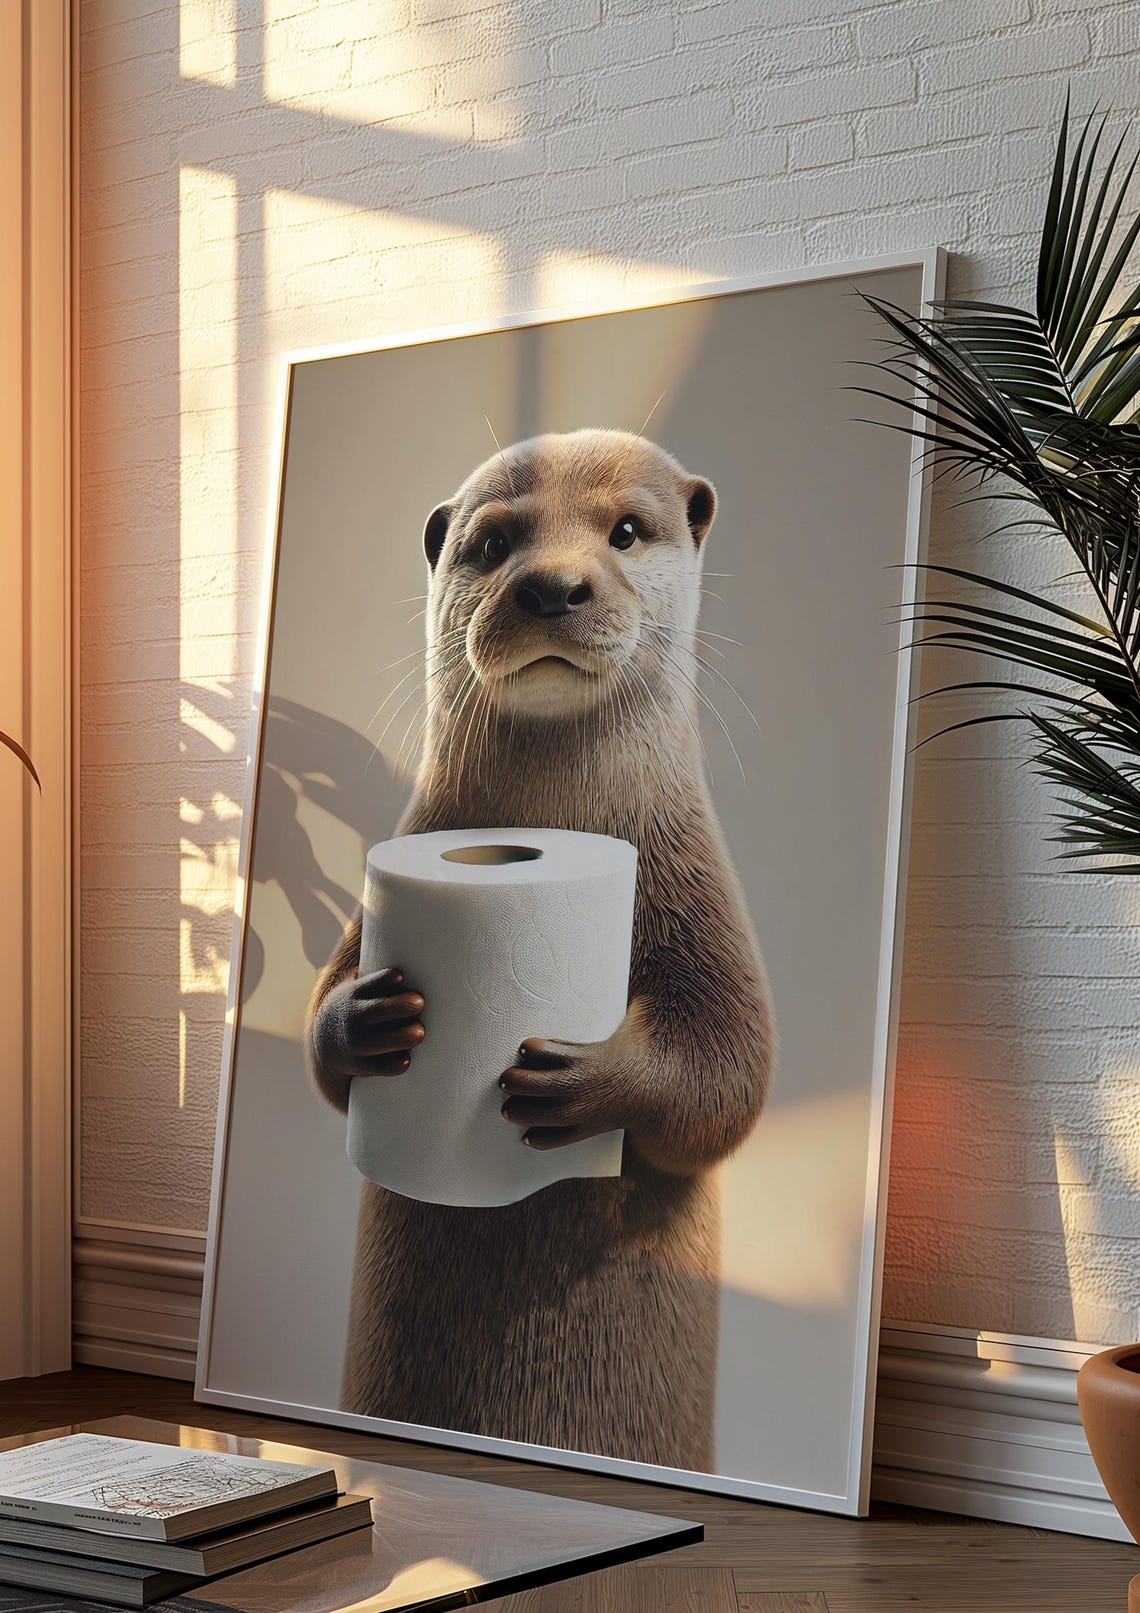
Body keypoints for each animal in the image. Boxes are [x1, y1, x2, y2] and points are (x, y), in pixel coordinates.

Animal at [305, 429, 774, 1474]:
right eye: (491, 544)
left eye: (627, 531)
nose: (552, 585)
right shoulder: (389, 871)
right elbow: (322, 1036)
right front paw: (368, 1016)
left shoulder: (705, 902)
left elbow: (730, 1073)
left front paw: (585, 1082)